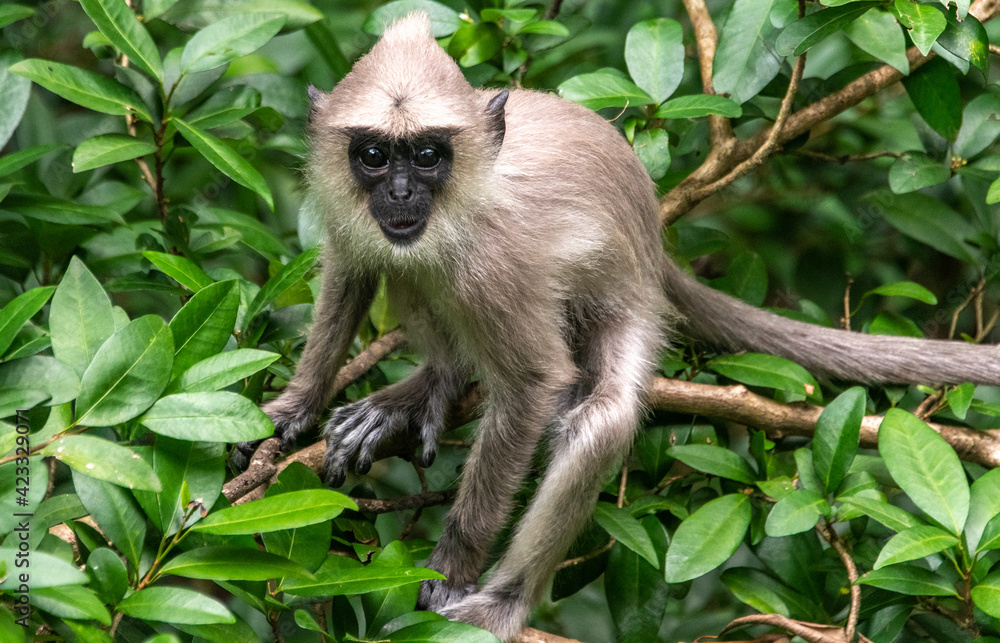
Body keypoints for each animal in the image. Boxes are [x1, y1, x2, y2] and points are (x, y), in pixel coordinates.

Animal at [245, 13, 1000, 642]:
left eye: (427, 155)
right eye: (375, 155)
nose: (400, 194)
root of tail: (653, 241)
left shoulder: (492, 265)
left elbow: (535, 385)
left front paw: (453, 566)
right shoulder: (362, 219)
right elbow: (351, 270)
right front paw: (294, 409)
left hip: (623, 303)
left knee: (599, 417)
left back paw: (505, 599)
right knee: (409, 272)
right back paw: (434, 381)